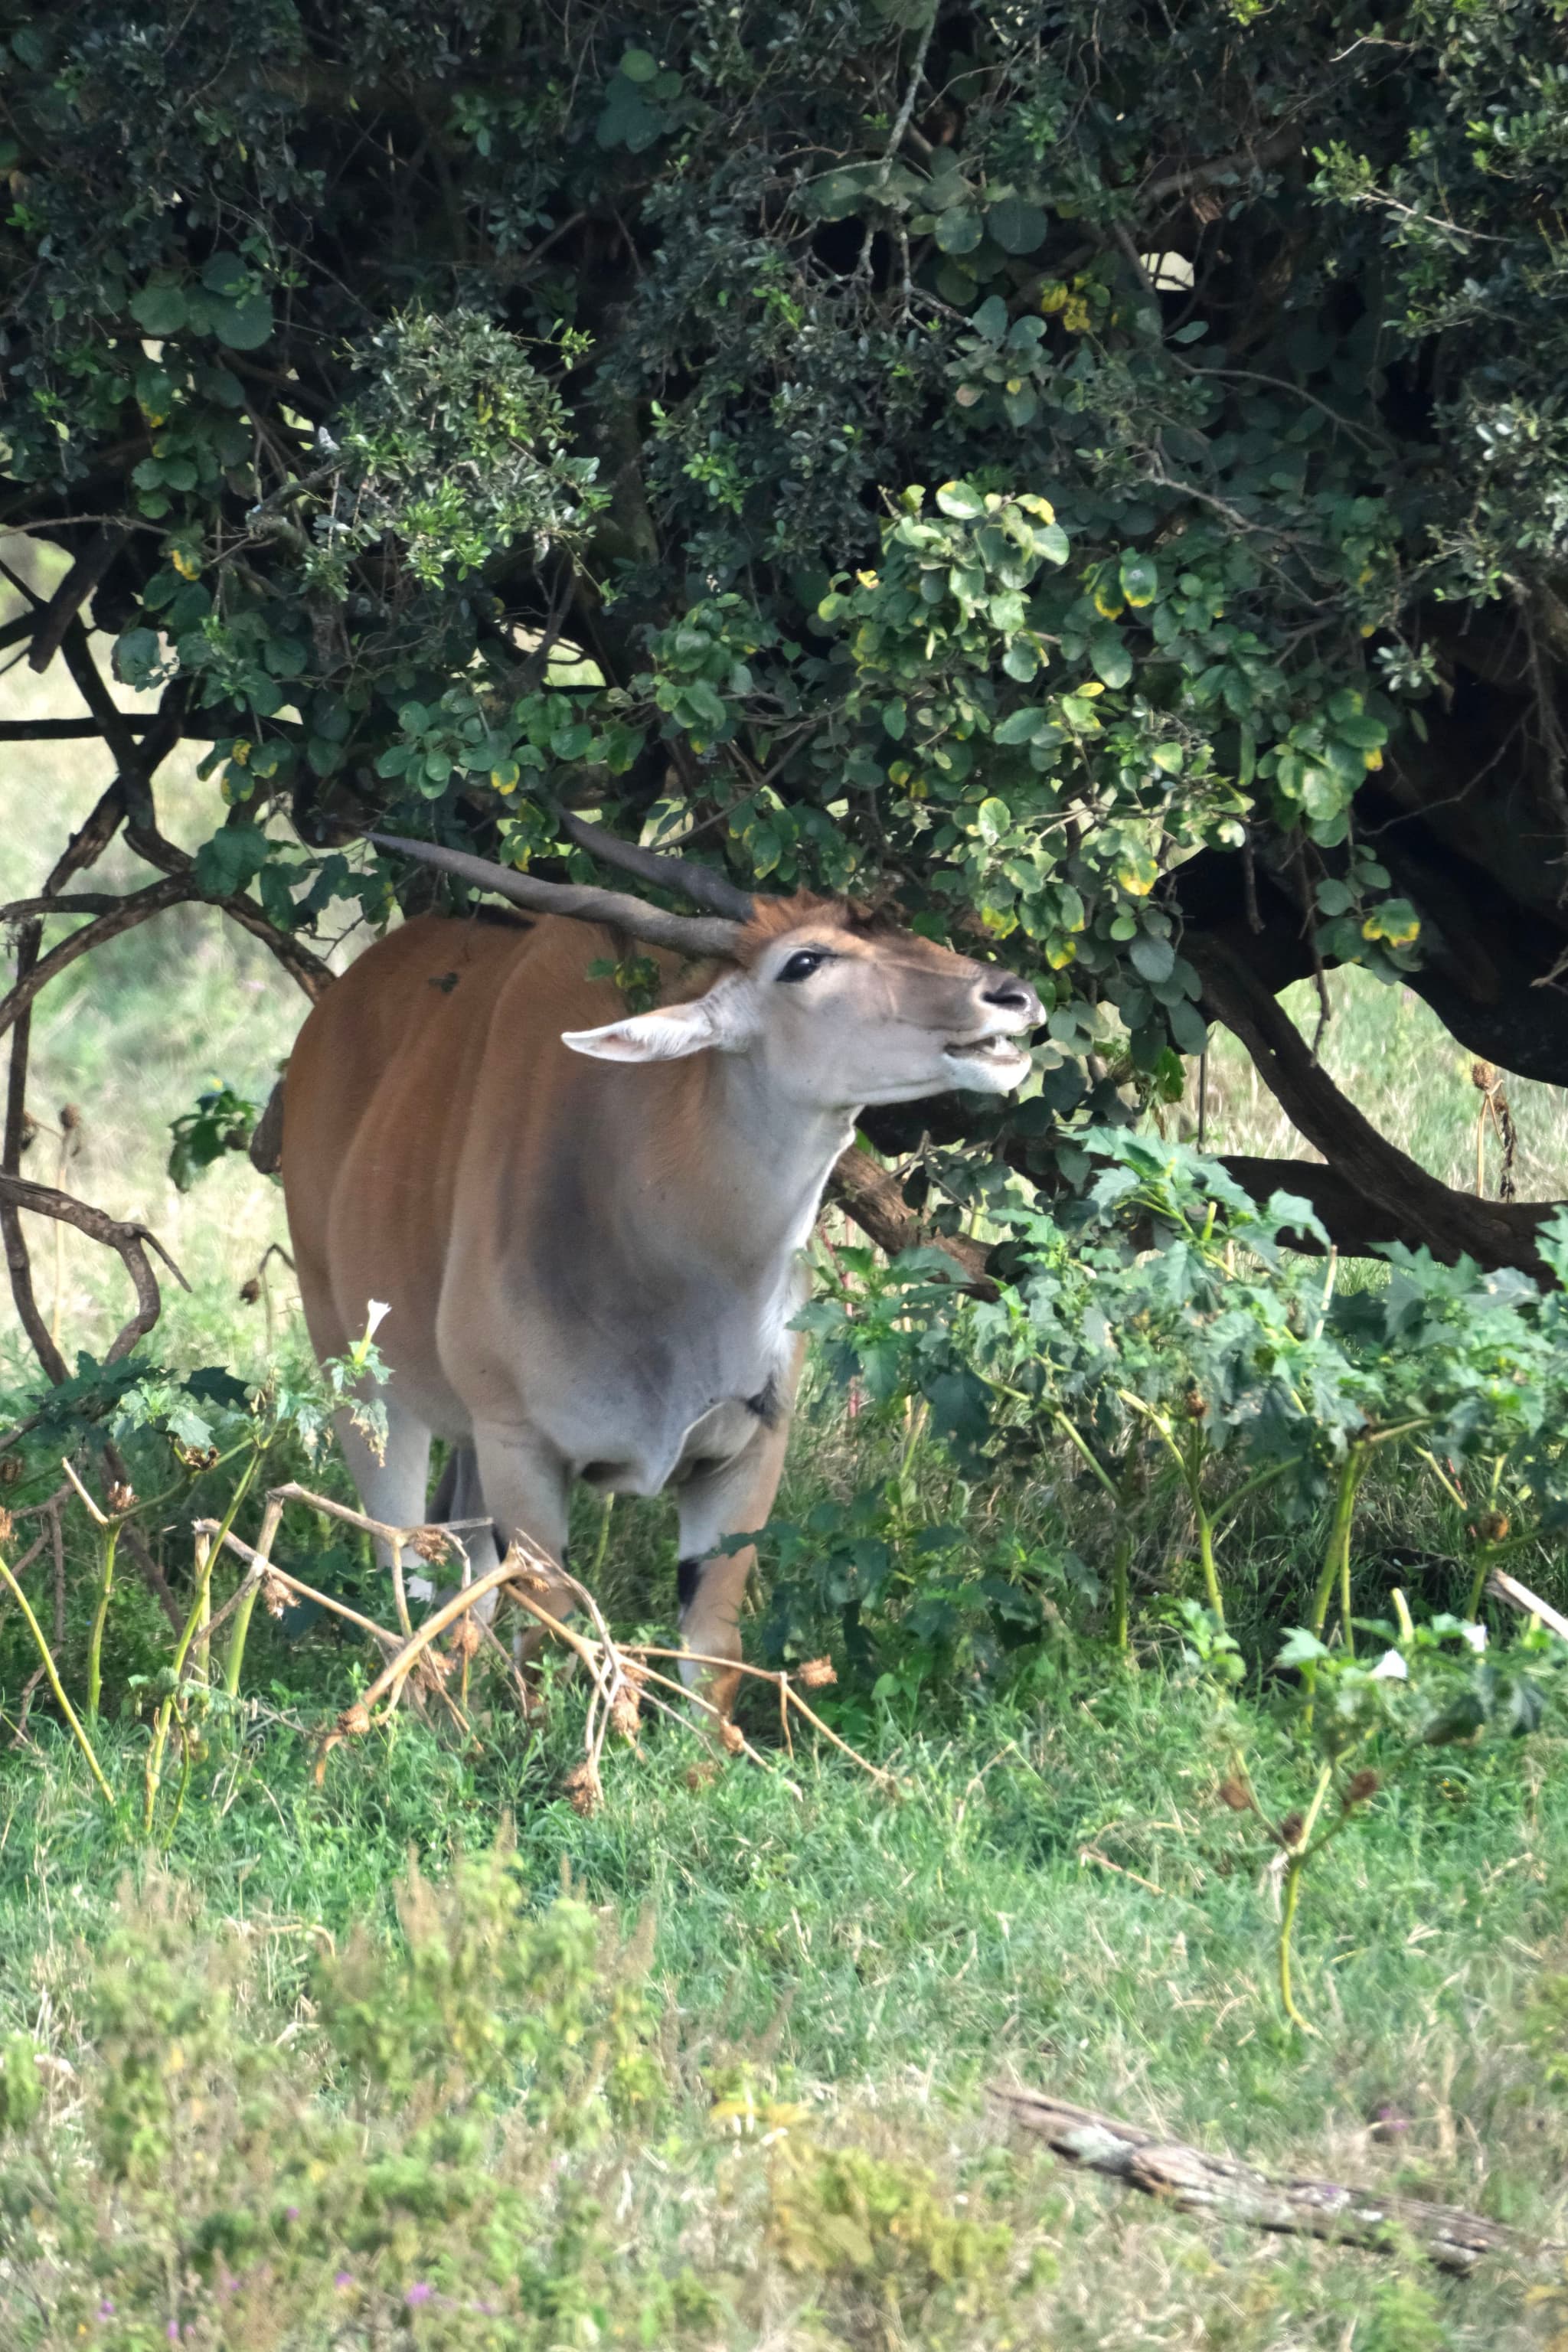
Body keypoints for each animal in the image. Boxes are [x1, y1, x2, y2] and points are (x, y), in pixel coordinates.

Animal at [280, 824, 1042, 1705]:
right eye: (804, 961)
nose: (1011, 995)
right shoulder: (522, 1448)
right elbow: (553, 1638)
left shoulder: (748, 1453)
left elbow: (709, 1650)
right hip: (361, 1381)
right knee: (398, 1563)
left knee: (458, 1574)